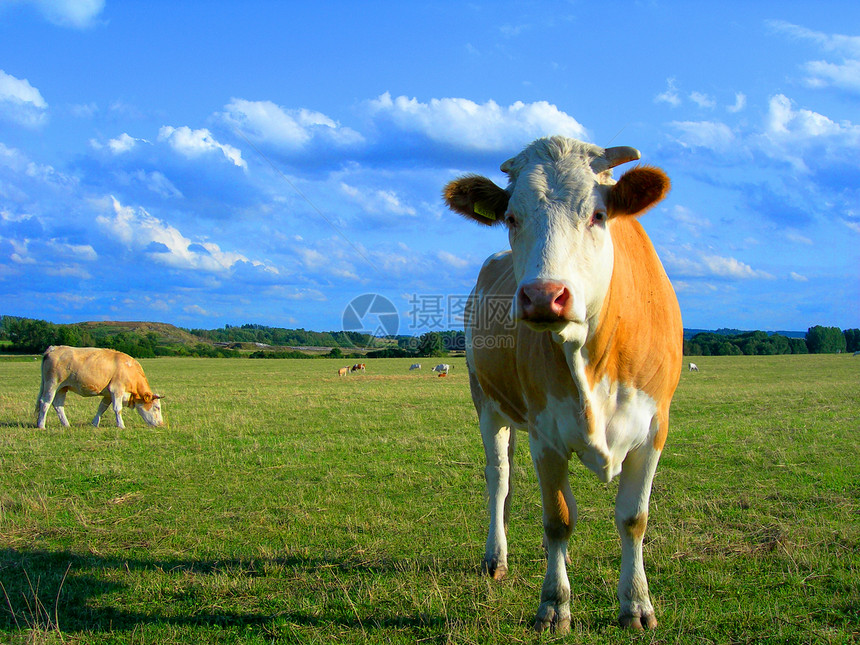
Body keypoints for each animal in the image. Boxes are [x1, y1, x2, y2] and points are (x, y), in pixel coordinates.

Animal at [35, 344, 164, 430]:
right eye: (157, 407)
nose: (161, 424)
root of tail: (54, 348)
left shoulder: (108, 395)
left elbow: (102, 408)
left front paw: (94, 423)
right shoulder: (116, 390)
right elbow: (118, 409)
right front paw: (121, 425)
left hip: (62, 388)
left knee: (58, 405)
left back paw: (66, 424)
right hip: (52, 384)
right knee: (45, 402)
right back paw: (41, 425)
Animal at [446, 133, 680, 632]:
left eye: (597, 215)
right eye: (511, 218)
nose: (542, 296)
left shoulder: (655, 429)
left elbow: (633, 519)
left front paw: (636, 604)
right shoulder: (546, 434)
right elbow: (557, 519)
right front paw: (554, 605)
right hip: (486, 401)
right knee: (499, 477)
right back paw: (496, 557)